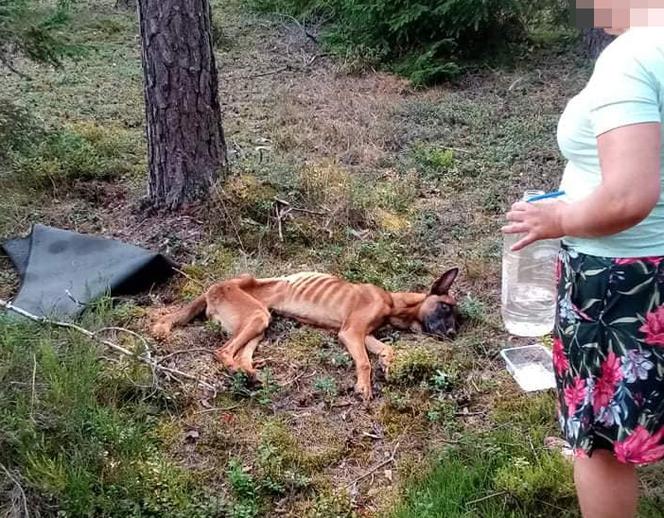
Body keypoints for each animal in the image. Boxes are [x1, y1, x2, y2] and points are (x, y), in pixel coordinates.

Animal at [152, 270, 460, 400]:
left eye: (457, 317)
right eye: (445, 307)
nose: (453, 333)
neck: (393, 303)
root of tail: (211, 289)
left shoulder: (363, 335)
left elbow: (386, 350)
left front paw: (388, 363)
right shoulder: (351, 332)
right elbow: (364, 362)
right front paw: (364, 386)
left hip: (260, 323)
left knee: (241, 355)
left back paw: (251, 375)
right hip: (256, 316)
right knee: (223, 352)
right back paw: (238, 372)